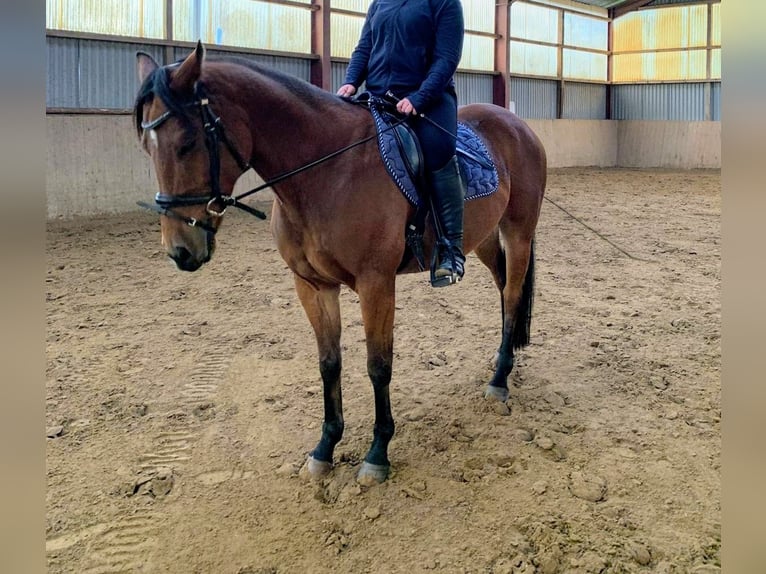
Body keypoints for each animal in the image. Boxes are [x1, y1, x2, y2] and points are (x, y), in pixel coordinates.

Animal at [134, 42, 546, 485]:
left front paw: (377, 453)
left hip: (518, 232)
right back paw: (503, 361)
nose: (180, 250)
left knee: (513, 293)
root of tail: (516, 124)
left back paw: (499, 381)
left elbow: (378, 365)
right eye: (147, 146)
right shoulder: (312, 286)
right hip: (483, 238)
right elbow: (329, 364)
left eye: (188, 142)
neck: (327, 173)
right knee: (503, 288)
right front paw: (324, 448)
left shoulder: (376, 283)